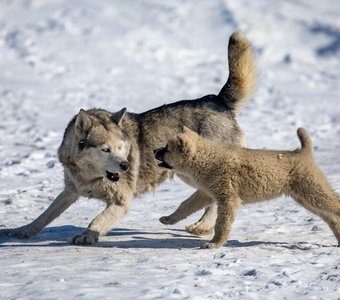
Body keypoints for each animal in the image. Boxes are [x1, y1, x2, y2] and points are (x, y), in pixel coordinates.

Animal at [0, 31, 258, 245]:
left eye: (121, 147)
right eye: (105, 149)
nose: (125, 166)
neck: (90, 175)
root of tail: (218, 100)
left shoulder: (120, 202)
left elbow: (97, 220)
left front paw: (87, 236)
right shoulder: (70, 191)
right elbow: (45, 215)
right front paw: (22, 231)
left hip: (194, 172)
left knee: (212, 199)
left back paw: (200, 226)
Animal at [155, 126, 340, 248]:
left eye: (167, 148)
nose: (154, 151)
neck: (207, 159)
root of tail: (302, 152)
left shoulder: (228, 199)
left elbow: (222, 224)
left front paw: (214, 244)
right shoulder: (207, 194)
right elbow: (185, 205)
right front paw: (168, 219)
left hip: (313, 192)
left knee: (335, 206)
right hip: (305, 198)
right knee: (331, 218)